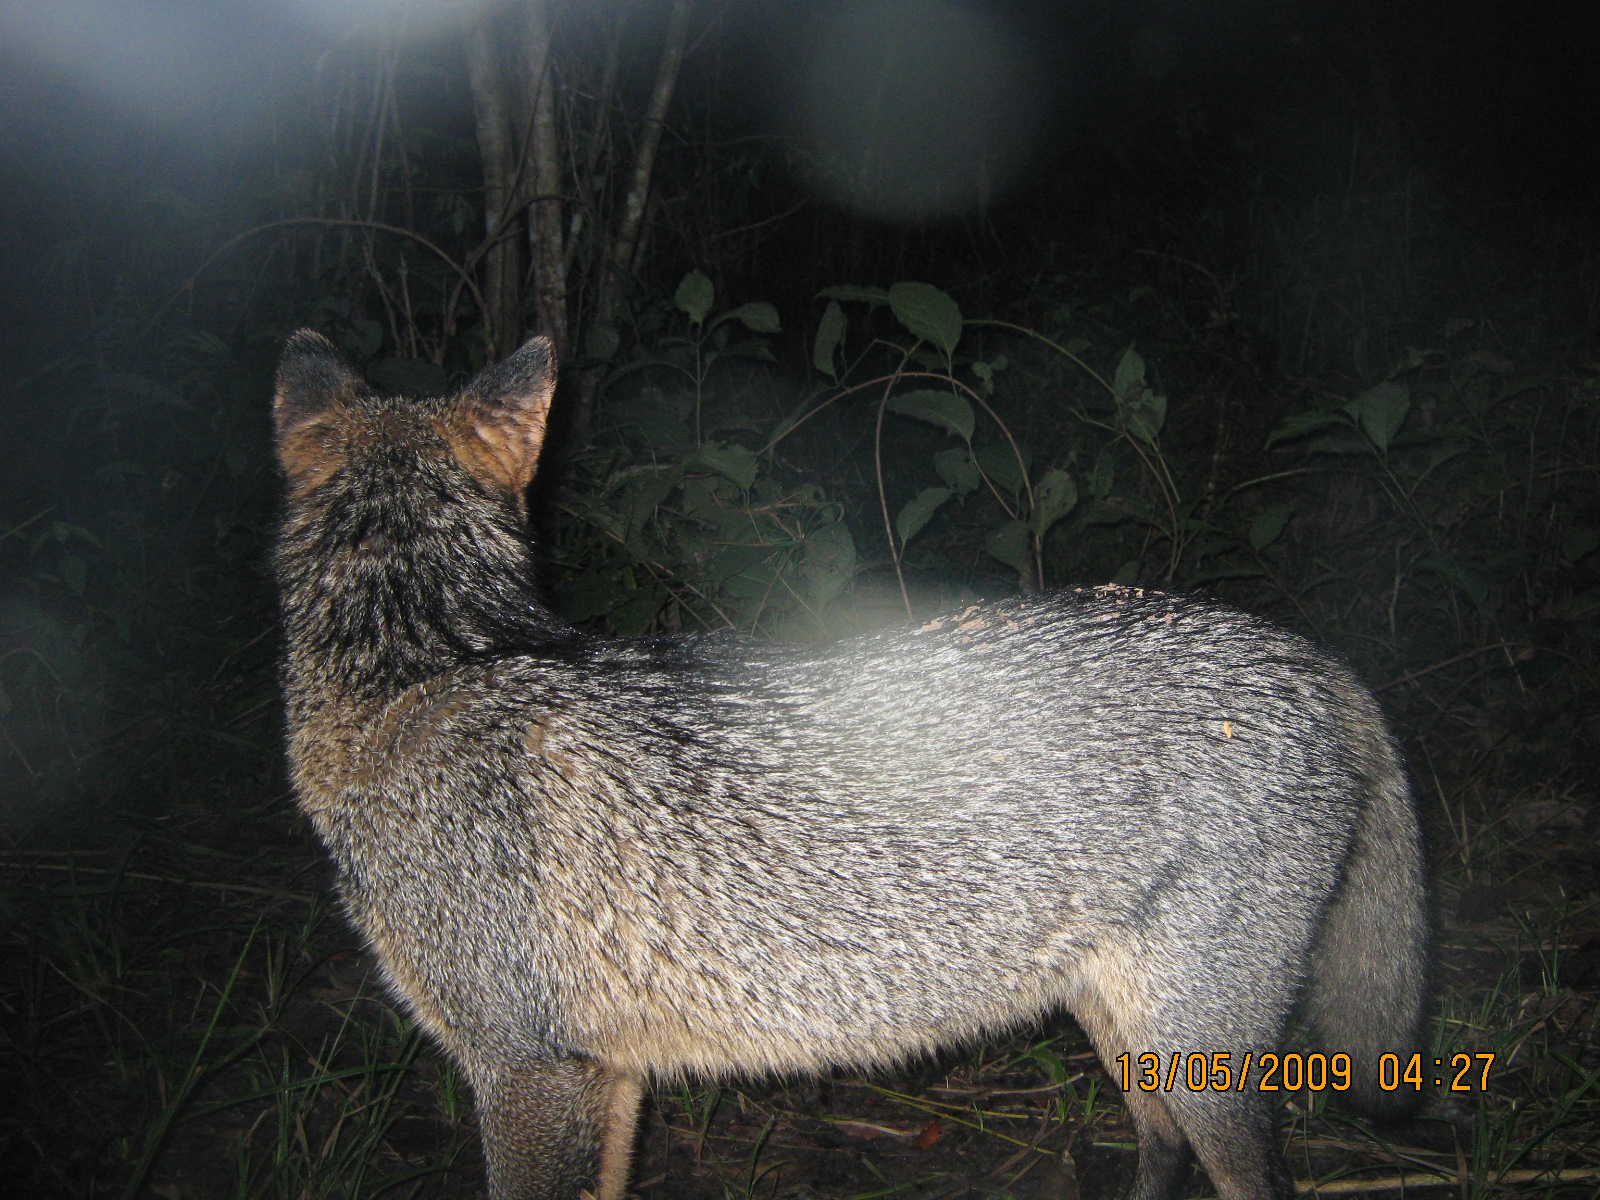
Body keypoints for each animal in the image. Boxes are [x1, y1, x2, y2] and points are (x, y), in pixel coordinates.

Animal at [271, 329, 1429, 1200]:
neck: (425, 663)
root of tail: (1307, 653)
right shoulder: (609, 1079)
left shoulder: (527, 1075)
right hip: (1125, 1030)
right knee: (1163, 1155)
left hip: (1200, 1056)